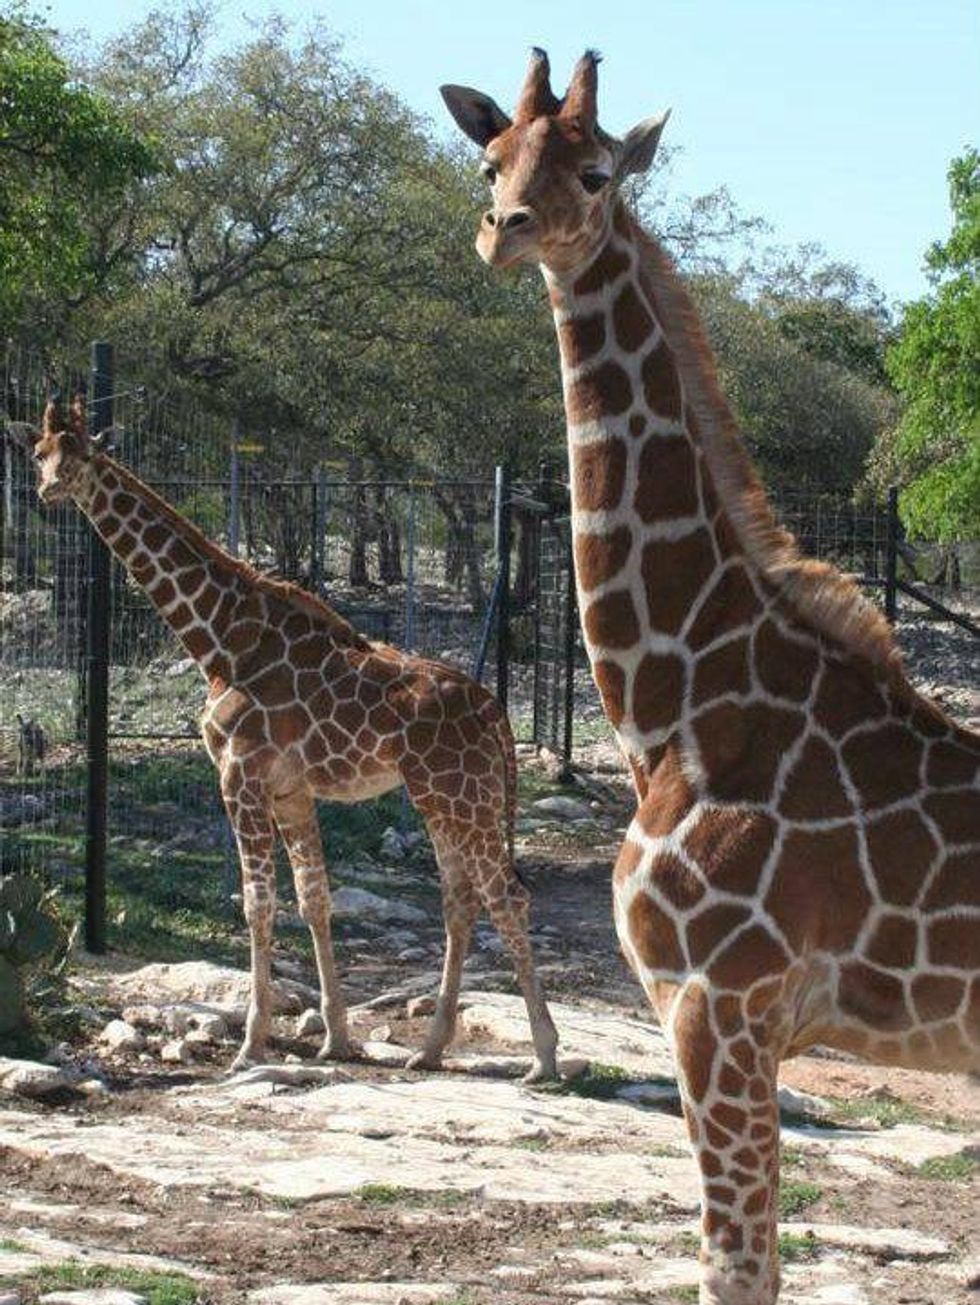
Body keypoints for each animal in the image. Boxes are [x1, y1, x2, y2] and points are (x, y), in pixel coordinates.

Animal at [11, 396, 559, 1082]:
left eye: (83, 453)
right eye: (39, 453)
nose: (48, 490)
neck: (216, 639)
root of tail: (497, 714)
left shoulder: (239, 775)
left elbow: (257, 903)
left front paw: (251, 1045)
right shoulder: (291, 791)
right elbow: (313, 901)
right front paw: (337, 1039)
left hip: (461, 794)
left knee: (506, 896)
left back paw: (544, 1058)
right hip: (441, 797)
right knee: (461, 900)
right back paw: (431, 1049)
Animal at [443, 51, 980, 1305]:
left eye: (595, 170)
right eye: (491, 163)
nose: (506, 232)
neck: (674, 710)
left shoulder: (718, 1007)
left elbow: (733, 1268)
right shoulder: (715, 1016)